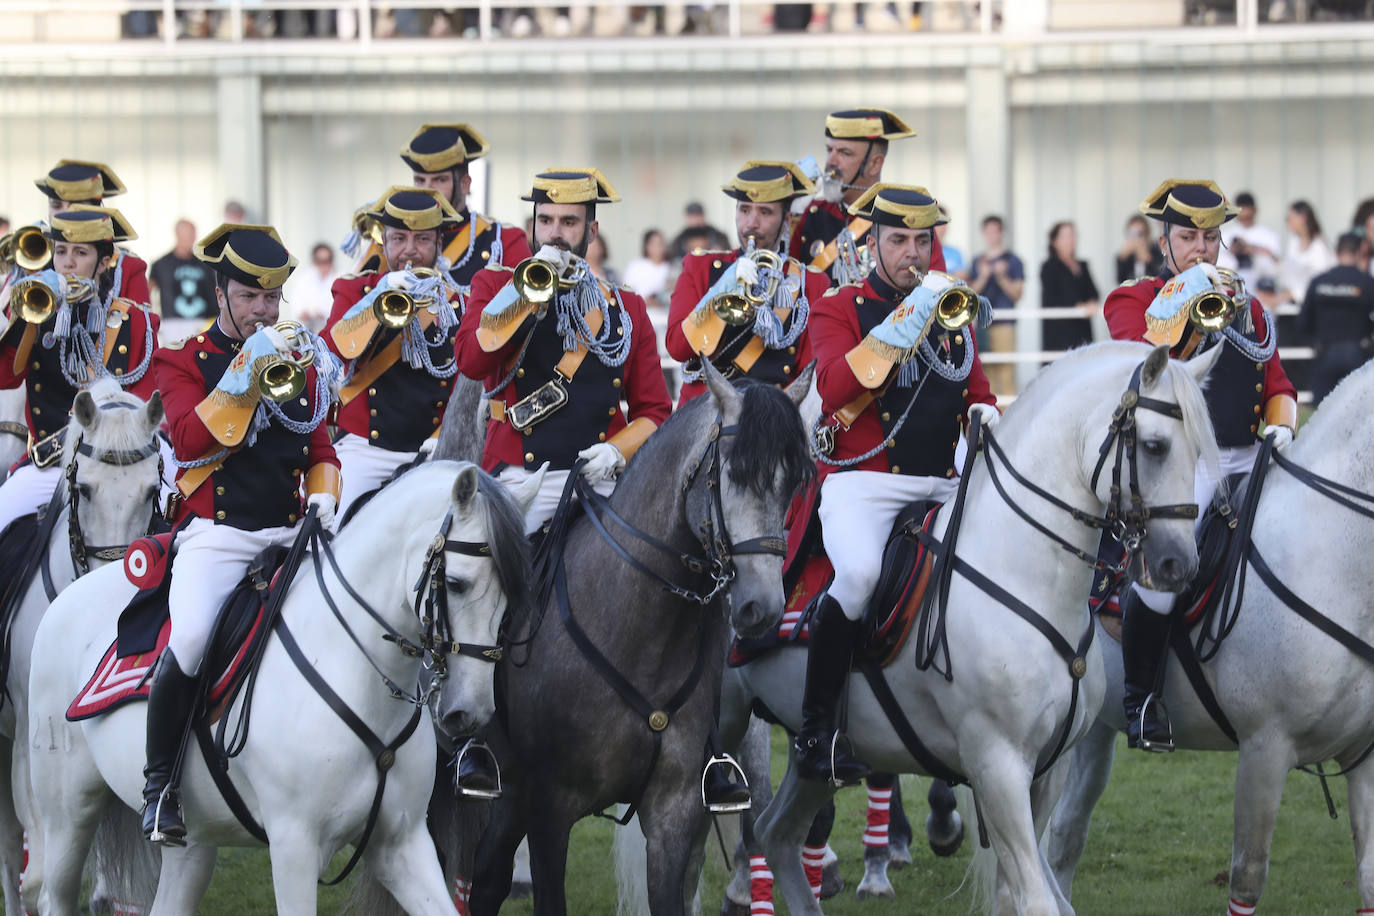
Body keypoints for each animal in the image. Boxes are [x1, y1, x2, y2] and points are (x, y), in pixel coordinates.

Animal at [22, 466, 535, 916]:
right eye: (457, 584)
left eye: (513, 596)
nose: (471, 712)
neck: (354, 668)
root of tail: (70, 594)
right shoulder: (294, 846)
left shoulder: (402, 844)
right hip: (68, 812)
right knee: (52, 895)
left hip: (195, 838)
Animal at [725, 340, 1220, 911]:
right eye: (1156, 446)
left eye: (1199, 451)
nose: (1178, 565)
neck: (1022, 572)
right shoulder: (997, 766)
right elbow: (1037, 899)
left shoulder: (1046, 770)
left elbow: (1020, 895)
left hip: (820, 763)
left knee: (777, 831)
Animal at [1049, 357, 1374, 916]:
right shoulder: (1266, 748)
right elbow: (1247, 877)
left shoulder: (1366, 756)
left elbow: (1370, 878)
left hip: (1092, 730)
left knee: (1065, 835)